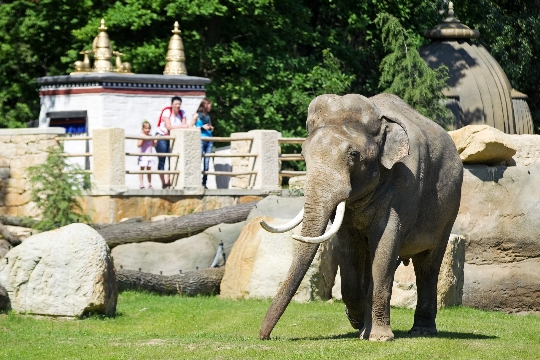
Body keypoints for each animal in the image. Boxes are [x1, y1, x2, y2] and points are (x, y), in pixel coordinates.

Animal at [260, 92, 462, 340]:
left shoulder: (406, 182)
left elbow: (385, 243)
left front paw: (378, 337)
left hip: (449, 209)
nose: (264, 336)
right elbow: (348, 247)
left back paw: (422, 330)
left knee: (428, 264)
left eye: (354, 155)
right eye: (303, 154)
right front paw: (357, 322)